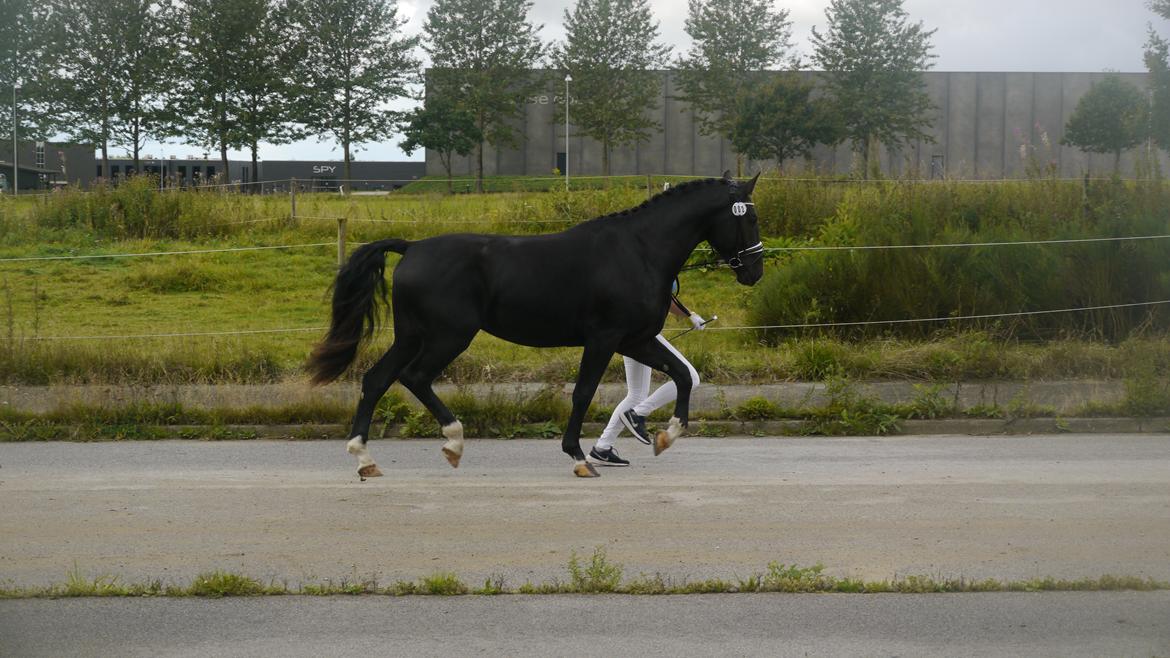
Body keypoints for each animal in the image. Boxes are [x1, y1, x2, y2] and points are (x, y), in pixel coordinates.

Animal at [308, 172, 767, 473]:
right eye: (749, 218)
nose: (755, 271)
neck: (639, 250)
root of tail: (412, 247)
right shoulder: (604, 339)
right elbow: (583, 393)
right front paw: (579, 457)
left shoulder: (635, 339)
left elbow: (682, 376)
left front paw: (666, 436)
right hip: (447, 336)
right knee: (415, 377)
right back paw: (453, 440)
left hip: (412, 336)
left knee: (377, 379)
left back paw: (365, 458)